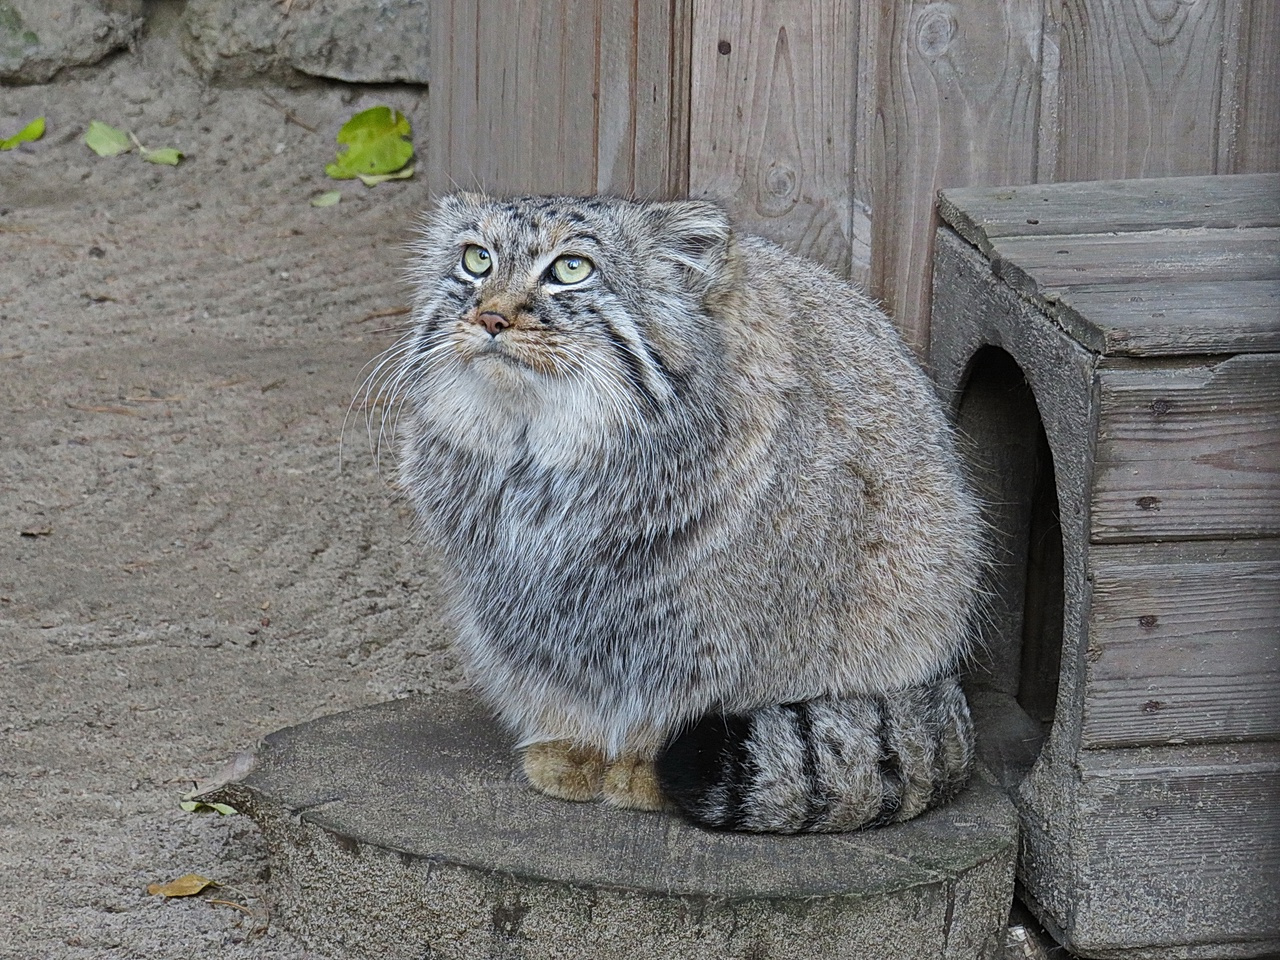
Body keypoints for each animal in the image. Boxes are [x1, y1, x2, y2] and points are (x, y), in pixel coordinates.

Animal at [389, 195, 977, 834]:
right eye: (477, 260)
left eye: (571, 269)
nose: (491, 317)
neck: (538, 457)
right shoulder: (522, 602)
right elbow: (560, 675)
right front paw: (574, 745)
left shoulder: (710, 623)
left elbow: (673, 691)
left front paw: (642, 766)